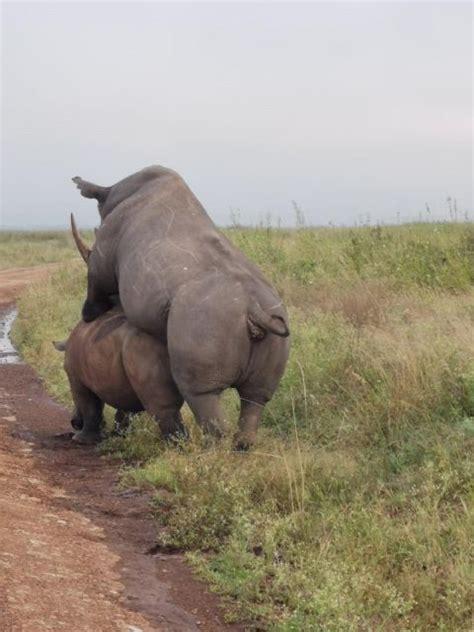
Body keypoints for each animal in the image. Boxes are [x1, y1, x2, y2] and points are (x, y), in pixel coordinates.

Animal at [73, 165, 288, 446]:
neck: (112, 193)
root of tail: (254, 310)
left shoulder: (104, 256)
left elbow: (96, 281)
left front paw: (88, 316)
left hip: (205, 321)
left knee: (200, 393)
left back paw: (209, 449)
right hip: (272, 323)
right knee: (256, 397)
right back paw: (242, 446)